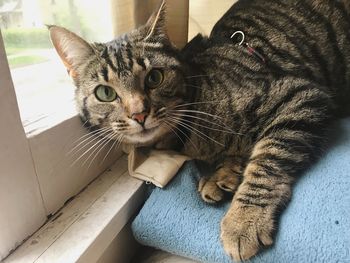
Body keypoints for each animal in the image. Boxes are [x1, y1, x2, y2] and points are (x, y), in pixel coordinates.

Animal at [48, 0, 350, 262]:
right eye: (105, 93)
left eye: (154, 77)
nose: (139, 114)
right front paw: (222, 175)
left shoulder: (301, 96)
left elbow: (266, 160)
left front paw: (243, 220)